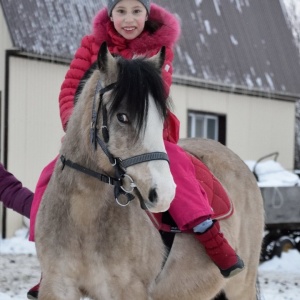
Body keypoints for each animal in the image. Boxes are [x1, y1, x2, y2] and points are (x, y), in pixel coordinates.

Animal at [35, 42, 264, 300]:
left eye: (161, 120)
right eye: (122, 116)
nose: (164, 194)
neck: (83, 218)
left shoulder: (129, 290)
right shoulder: (57, 285)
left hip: (241, 286)